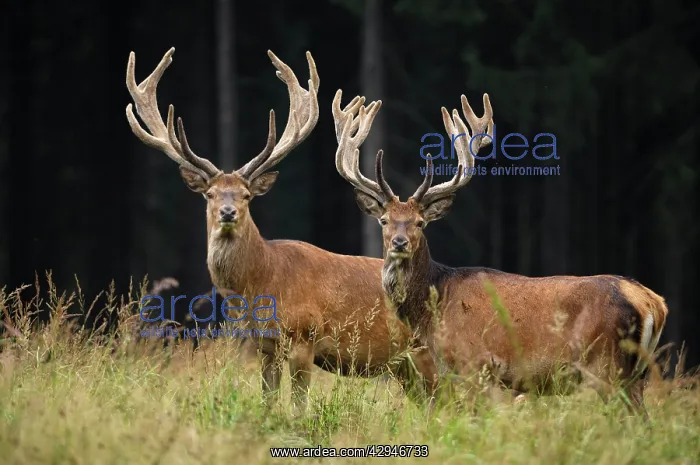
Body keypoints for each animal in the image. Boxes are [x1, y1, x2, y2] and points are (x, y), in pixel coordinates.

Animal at [125, 47, 439, 412]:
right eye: (210, 194)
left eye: (246, 194)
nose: (228, 212)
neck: (264, 282)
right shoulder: (265, 345)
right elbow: (269, 400)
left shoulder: (304, 336)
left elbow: (300, 405)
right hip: (405, 367)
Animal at [332, 89, 668, 418]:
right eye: (384, 220)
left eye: (420, 222)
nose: (400, 242)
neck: (433, 309)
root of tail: (653, 302)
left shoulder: (475, 363)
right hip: (635, 374)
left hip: (606, 365)